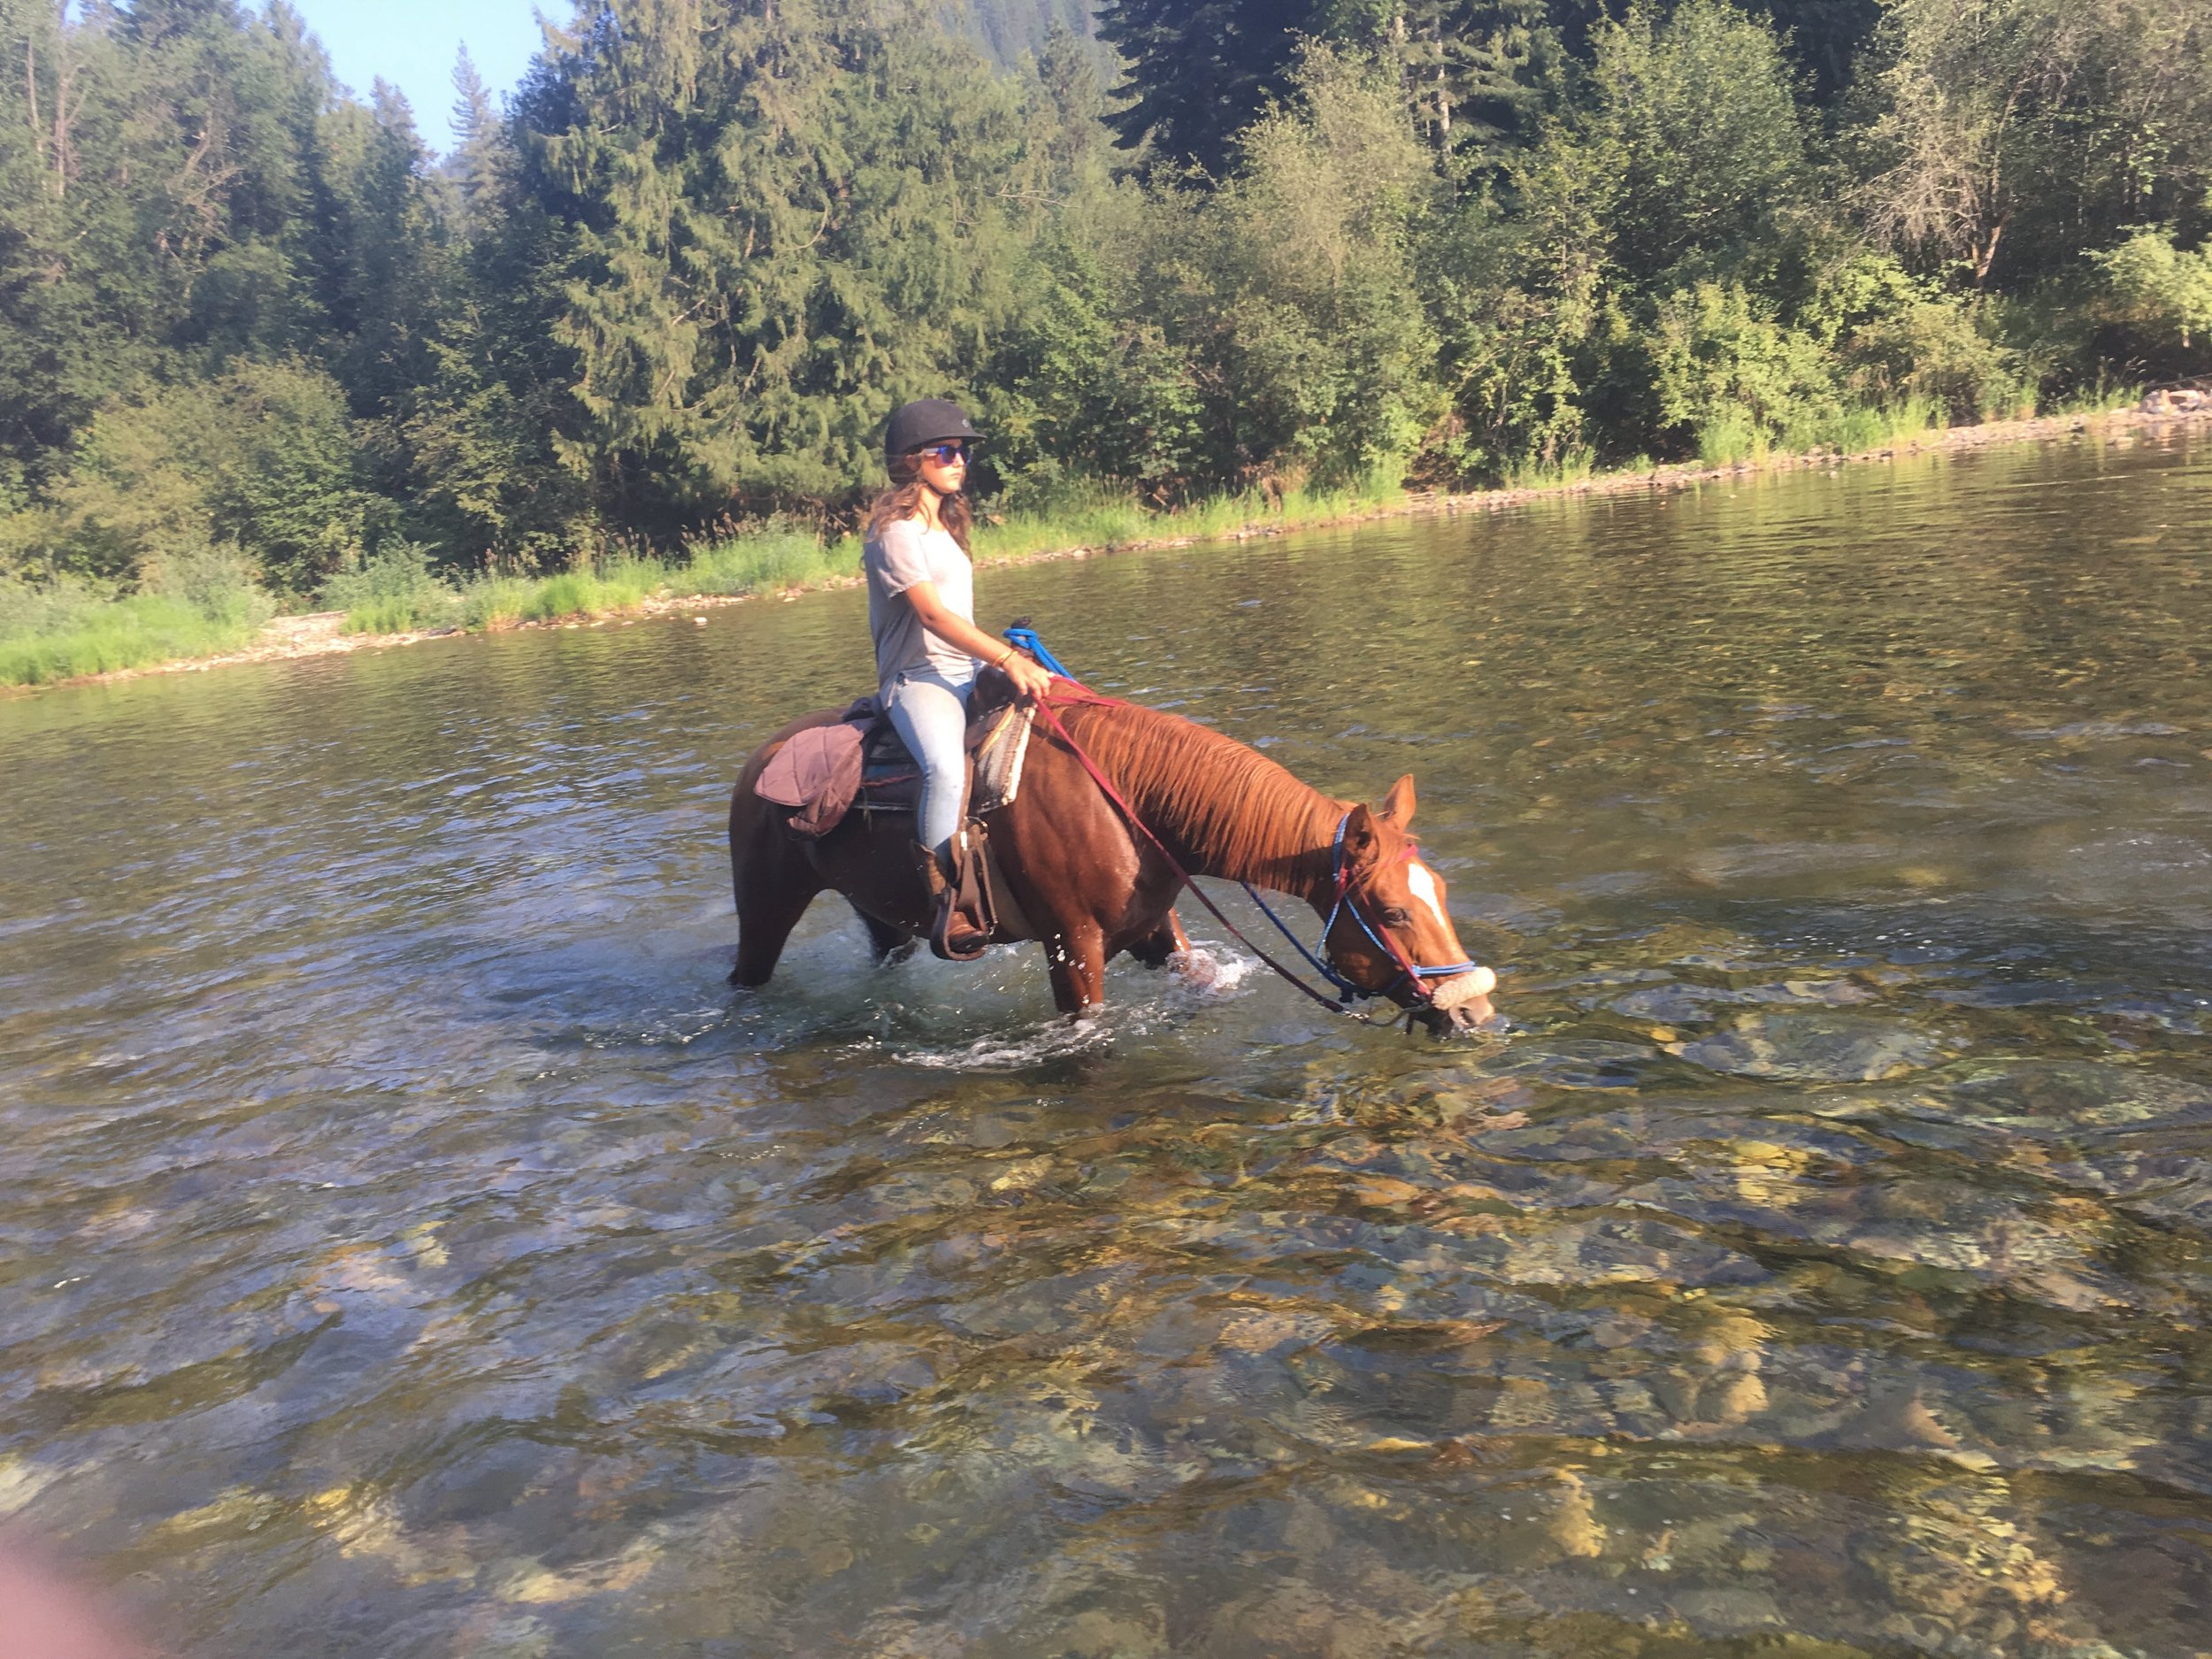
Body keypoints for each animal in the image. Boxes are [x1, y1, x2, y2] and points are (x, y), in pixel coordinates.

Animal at [727, 681, 1498, 1034]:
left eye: (1441, 892)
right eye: (1392, 911)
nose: (1477, 1009)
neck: (1132, 803)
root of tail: (761, 756)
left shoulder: (1154, 929)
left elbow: (1203, 977)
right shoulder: (1073, 949)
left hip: (883, 920)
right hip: (764, 909)